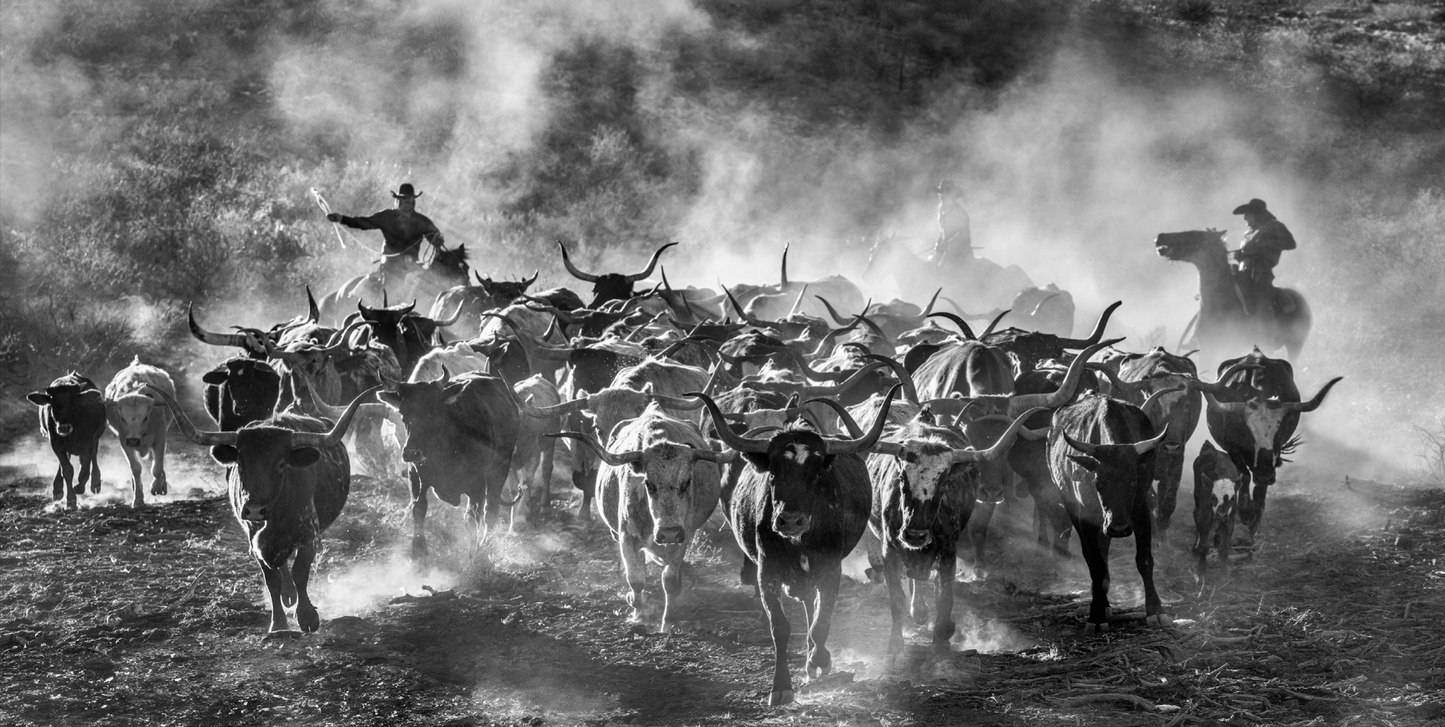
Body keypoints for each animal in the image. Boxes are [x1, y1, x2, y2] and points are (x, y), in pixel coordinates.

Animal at [26, 372, 107, 508]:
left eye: (74, 405)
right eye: (53, 405)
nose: (64, 427)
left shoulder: (88, 443)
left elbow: (85, 470)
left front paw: (79, 488)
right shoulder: (56, 444)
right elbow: (67, 470)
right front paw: (71, 500)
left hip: (96, 438)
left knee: (94, 458)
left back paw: (95, 483)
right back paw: (57, 489)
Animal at [148, 387, 367, 635]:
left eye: (281, 464)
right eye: (240, 464)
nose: (254, 510)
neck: (277, 516)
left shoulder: (309, 534)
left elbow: (300, 572)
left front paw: (307, 617)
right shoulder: (255, 542)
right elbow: (273, 580)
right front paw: (278, 622)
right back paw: (288, 595)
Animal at [381, 372, 523, 555]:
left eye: (432, 412)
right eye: (404, 414)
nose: (411, 453)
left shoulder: (477, 485)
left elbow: (472, 519)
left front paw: (473, 554)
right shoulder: (416, 477)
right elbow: (418, 508)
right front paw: (419, 548)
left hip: (499, 471)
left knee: (490, 510)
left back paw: (486, 545)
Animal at [693, 390, 895, 708]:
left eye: (816, 473)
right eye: (774, 472)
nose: (790, 521)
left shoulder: (831, 571)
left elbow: (822, 621)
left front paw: (818, 661)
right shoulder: (767, 573)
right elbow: (781, 626)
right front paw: (781, 686)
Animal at [1046, 393, 1167, 633]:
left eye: (1133, 480)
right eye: (1099, 482)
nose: (1119, 528)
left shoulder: (1140, 511)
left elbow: (1144, 561)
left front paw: (1155, 610)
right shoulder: (1085, 516)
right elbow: (1096, 565)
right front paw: (1096, 616)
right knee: (1094, 558)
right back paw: (1102, 605)